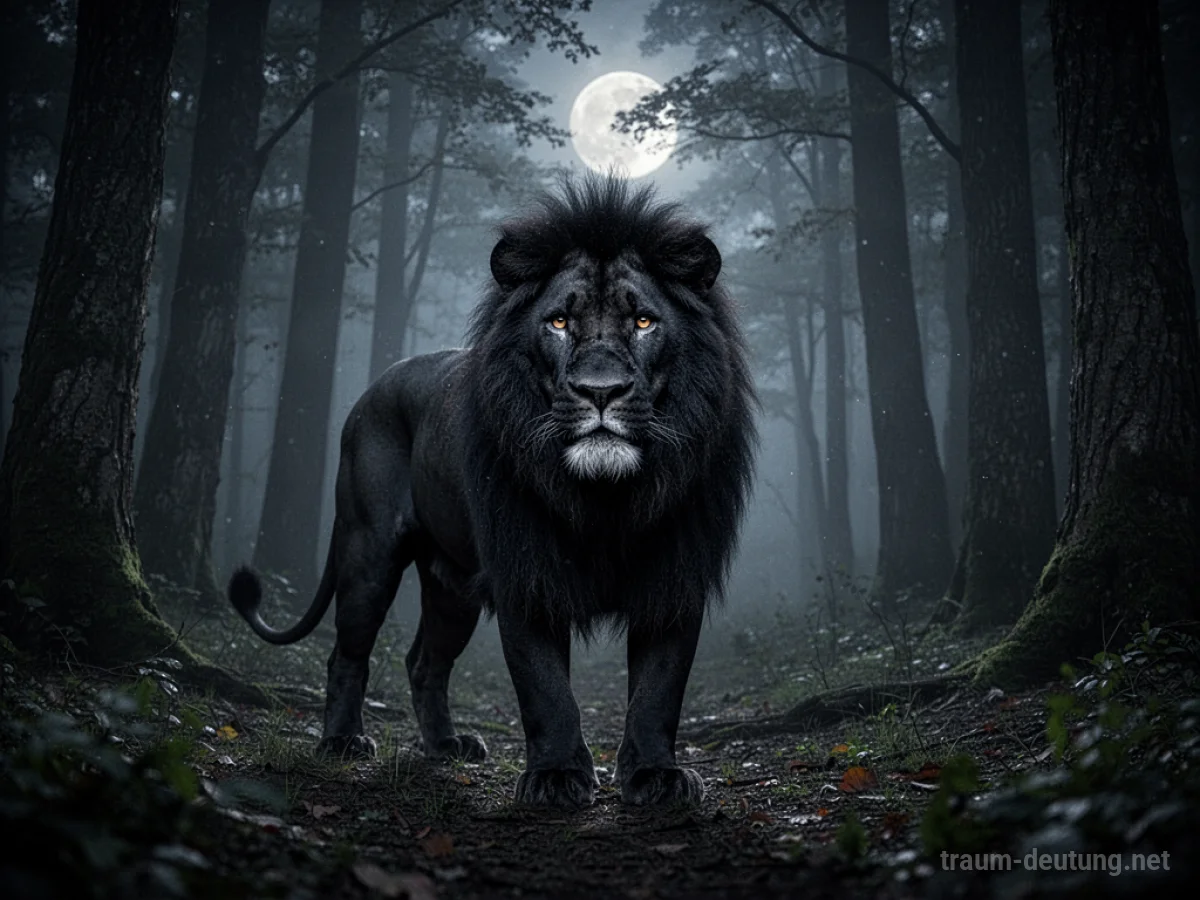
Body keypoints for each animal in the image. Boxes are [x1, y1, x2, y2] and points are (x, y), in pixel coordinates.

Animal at [230, 174, 757, 809]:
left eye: (644, 322)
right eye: (559, 322)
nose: (600, 391)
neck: (606, 498)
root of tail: (370, 392)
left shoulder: (674, 573)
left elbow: (659, 690)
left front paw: (656, 776)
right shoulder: (526, 573)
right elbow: (544, 688)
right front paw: (556, 777)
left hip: (451, 585)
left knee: (423, 662)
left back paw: (447, 747)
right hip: (368, 551)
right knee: (347, 652)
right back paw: (342, 743)